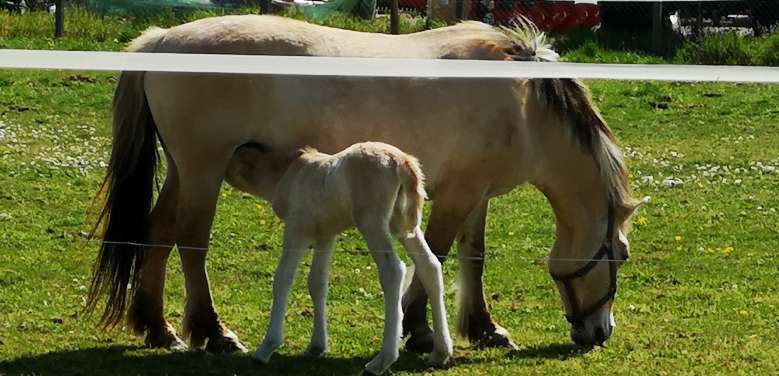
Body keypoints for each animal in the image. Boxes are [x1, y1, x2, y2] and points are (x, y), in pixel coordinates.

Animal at [225, 142, 454, 376]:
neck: (289, 173)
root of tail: (402, 162)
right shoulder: (326, 235)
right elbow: (316, 282)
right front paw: (316, 346)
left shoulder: (297, 230)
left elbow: (283, 279)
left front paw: (266, 348)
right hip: (404, 226)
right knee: (429, 266)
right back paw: (440, 352)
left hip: (371, 222)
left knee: (393, 271)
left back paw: (380, 362)